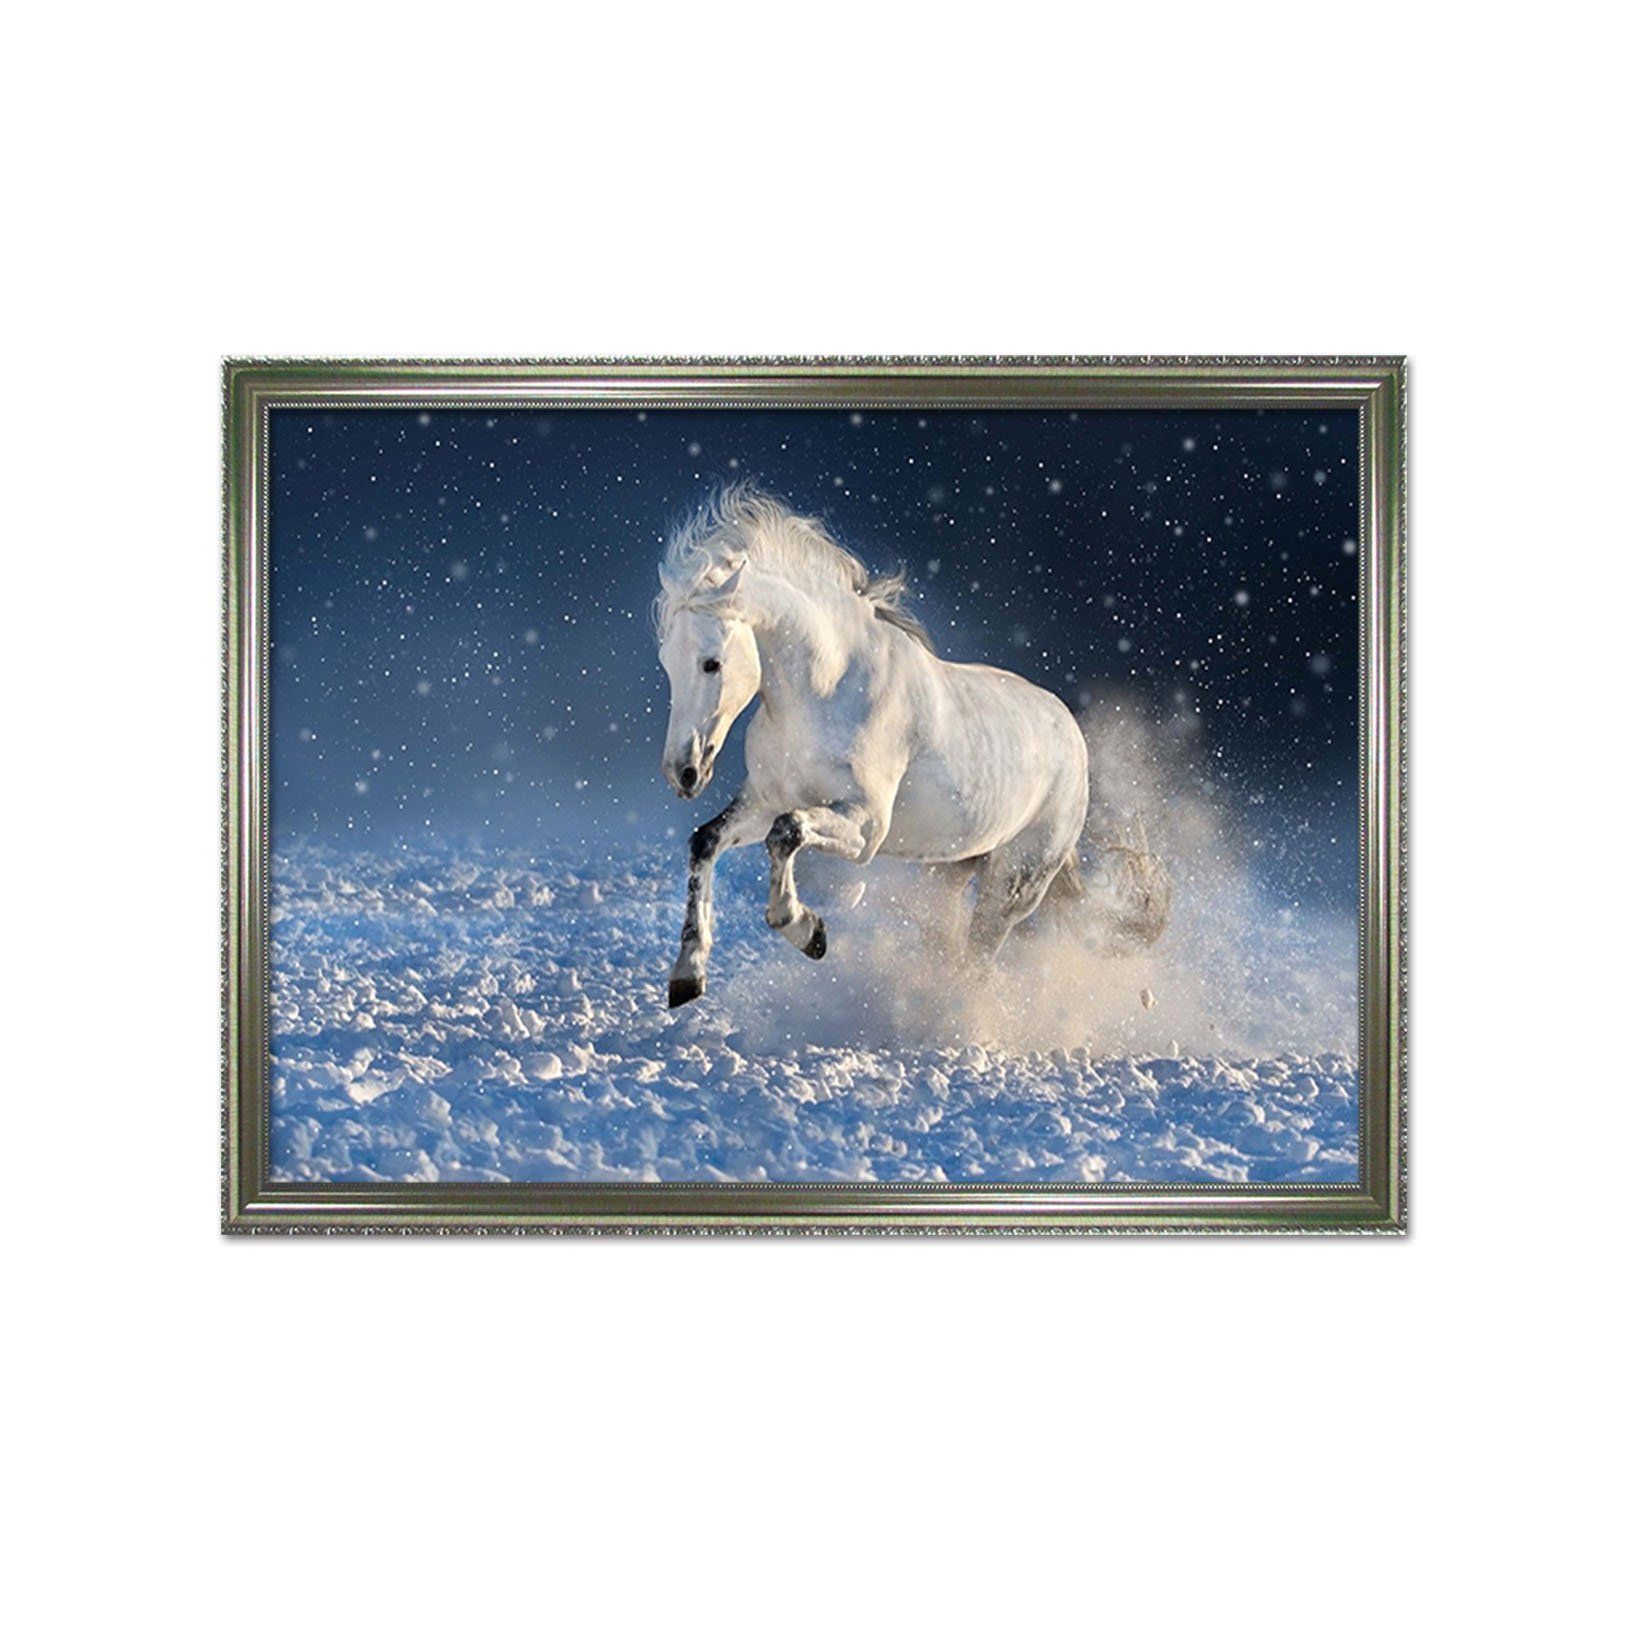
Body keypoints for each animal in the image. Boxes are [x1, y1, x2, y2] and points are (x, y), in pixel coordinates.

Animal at [655, 485, 1168, 1007]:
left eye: (712, 663)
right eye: (667, 661)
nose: (684, 773)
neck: (828, 692)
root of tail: (1073, 739)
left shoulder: (866, 827)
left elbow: (788, 833)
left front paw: (808, 931)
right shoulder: (764, 801)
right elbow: (706, 841)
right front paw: (688, 974)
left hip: (1013, 883)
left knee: (978, 960)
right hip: (950, 872)